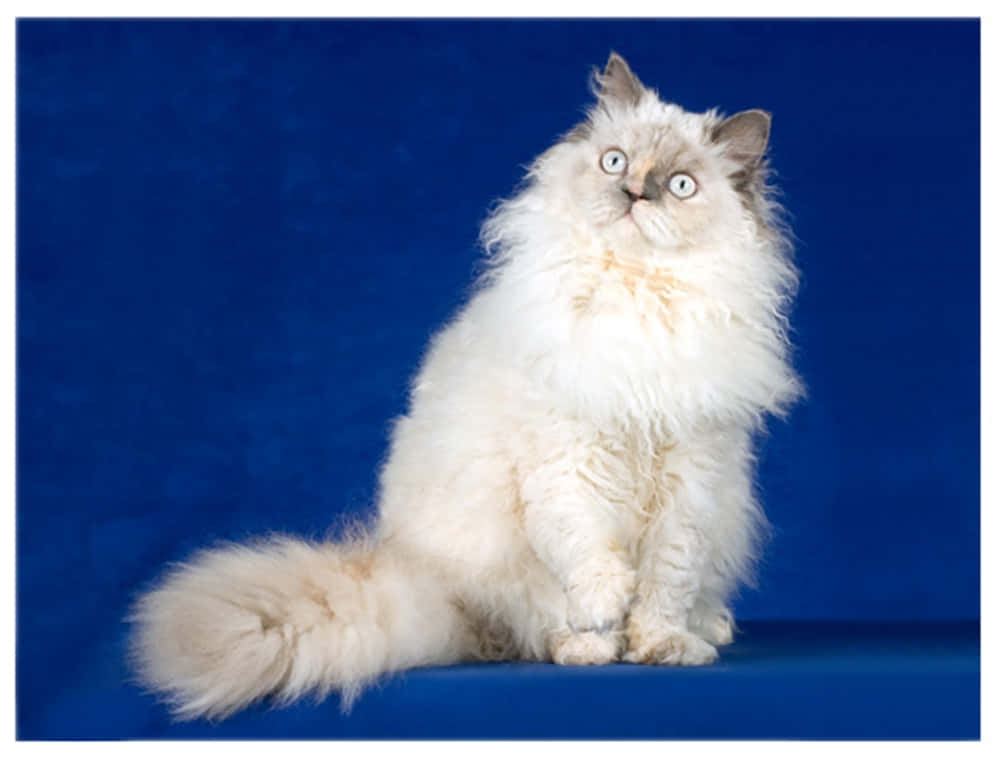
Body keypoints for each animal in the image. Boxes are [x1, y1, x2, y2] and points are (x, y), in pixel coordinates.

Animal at [131, 52, 804, 720]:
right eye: (614, 161)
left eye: (681, 184)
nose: (634, 192)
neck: (632, 293)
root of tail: (440, 597)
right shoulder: (568, 466)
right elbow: (596, 559)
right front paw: (609, 612)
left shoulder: (691, 482)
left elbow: (665, 584)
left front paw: (662, 646)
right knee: (536, 632)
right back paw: (589, 648)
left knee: (685, 598)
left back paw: (704, 631)